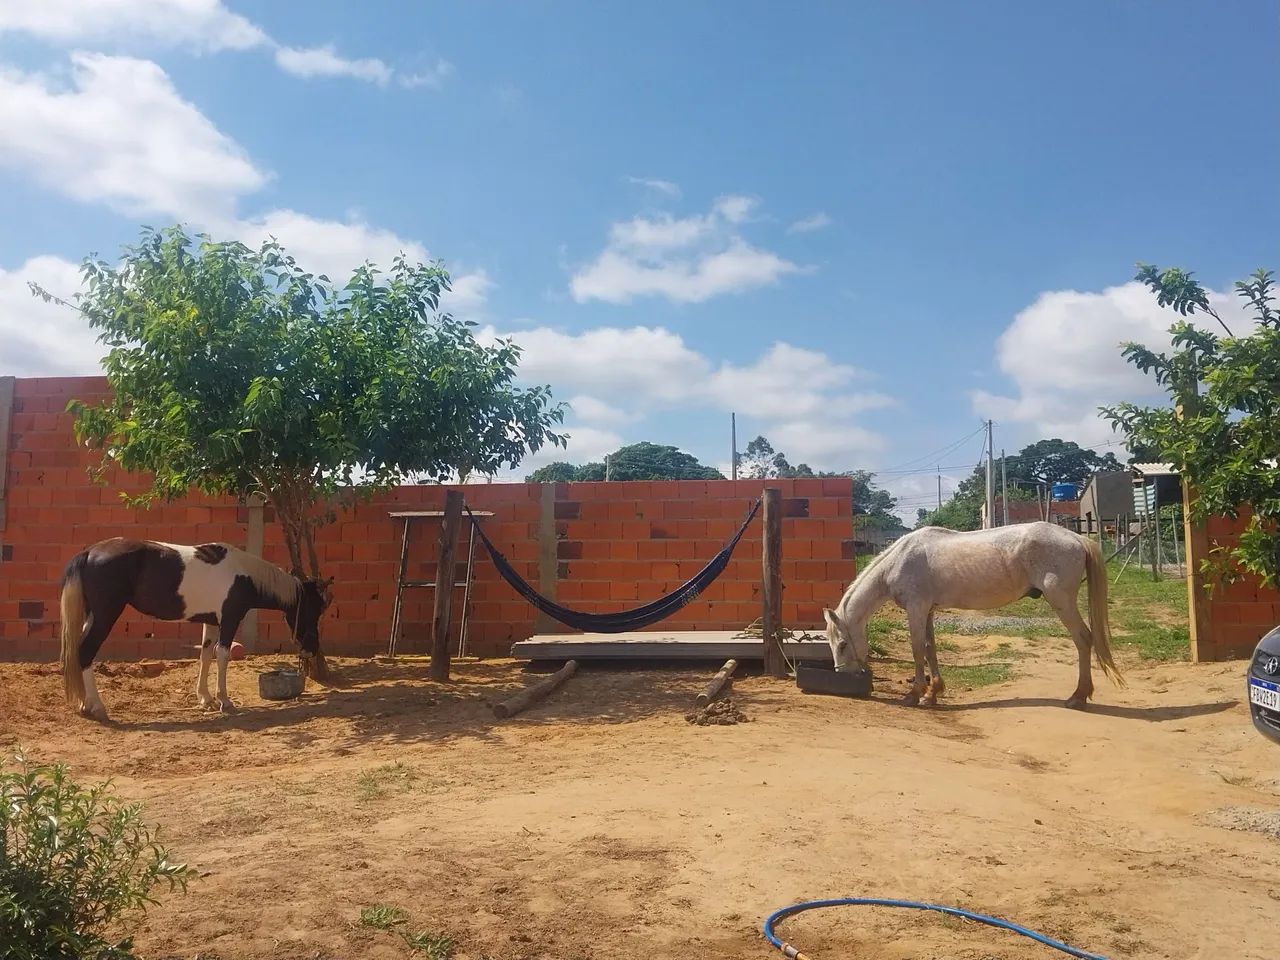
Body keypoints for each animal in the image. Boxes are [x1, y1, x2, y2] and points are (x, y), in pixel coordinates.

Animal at [59, 537, 332, 721]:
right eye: (313, 611)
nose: (312, 648)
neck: (244, 574)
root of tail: (89, 552)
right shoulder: (230, 619)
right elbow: (222, 656)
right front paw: (224, 701)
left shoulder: (210, 621)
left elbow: (205, 654)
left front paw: (206, 699)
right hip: (105, 615)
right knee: (86, 652)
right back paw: (96, 707)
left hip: (92, 616)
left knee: (78, 651)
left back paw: (84, 704)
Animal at [822, 521, 1125, 710]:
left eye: (843, 644)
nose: (843, 674)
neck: (899, 561)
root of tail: (1077, 537)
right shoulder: (928, 611)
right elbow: (931, 649)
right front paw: (933, 693)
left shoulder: (916, 609)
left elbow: (917, 650)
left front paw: (914, 694)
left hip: (1062, 601)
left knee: (1083, 640)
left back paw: (1078, 697)